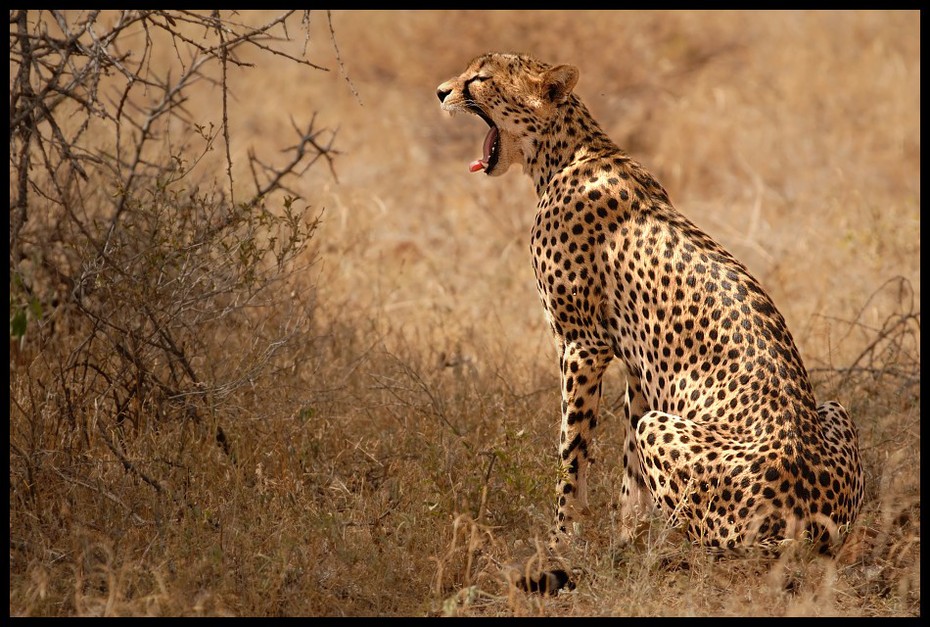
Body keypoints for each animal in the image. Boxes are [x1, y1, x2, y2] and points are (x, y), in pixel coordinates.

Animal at [436, 51, 864, 568]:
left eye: (479, 79)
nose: (441, 92)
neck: (568, 154)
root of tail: (819, 530)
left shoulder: (581, 345)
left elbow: (571, 451)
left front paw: (562, 542)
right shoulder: (639, 366)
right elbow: (630, 473)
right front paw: (626, 538)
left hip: (673, 441)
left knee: (716, 539)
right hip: (834, 407)